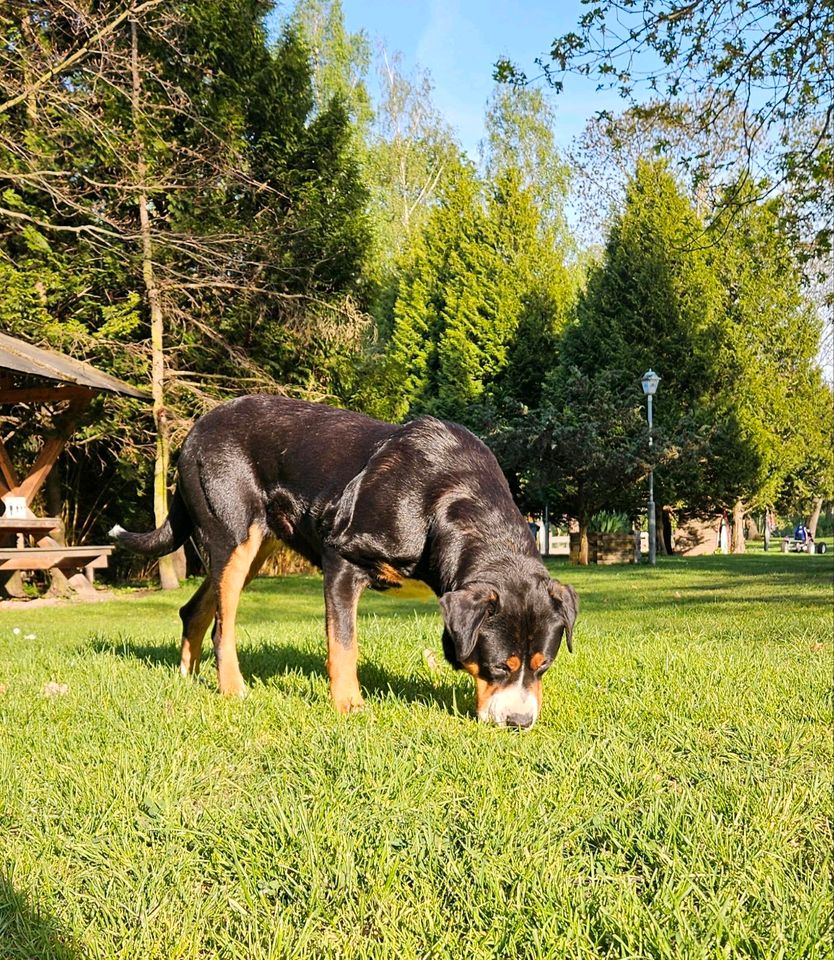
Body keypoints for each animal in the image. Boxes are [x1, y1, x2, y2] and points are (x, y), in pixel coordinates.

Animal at [110, 396, 576, 728]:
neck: (443, 501)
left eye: (544, 665)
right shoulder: (342, 561)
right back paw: (232, 690)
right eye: (499, 666)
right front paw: (350, 706)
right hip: (233, 540)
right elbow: (344, 644)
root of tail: (194, 430)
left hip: (255, 549)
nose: (520, 722)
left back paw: (187, 679)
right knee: (223, 627)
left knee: (194, 610)